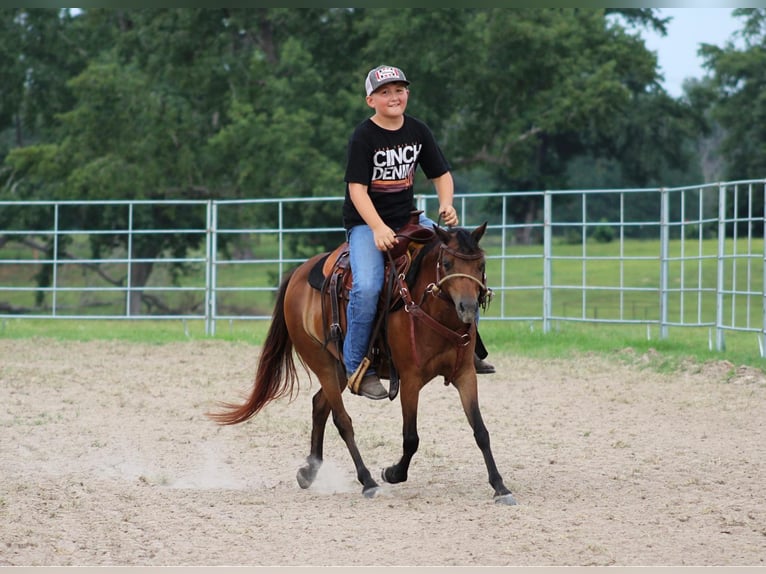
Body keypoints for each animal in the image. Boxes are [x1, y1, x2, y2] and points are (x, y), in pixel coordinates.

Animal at [210, 219, 520, 504]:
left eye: (480, 264)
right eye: (446, 262)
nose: (467, 308)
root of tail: (298, 273)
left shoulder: (465, 374)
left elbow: (481, 431)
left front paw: (500, 487)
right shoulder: (410, 380)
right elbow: (411, 437)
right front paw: (392, 473)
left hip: (341, 369)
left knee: (319, 405)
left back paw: (309, 471)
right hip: (322, 363)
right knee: (342, 420)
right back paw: (368, 480)